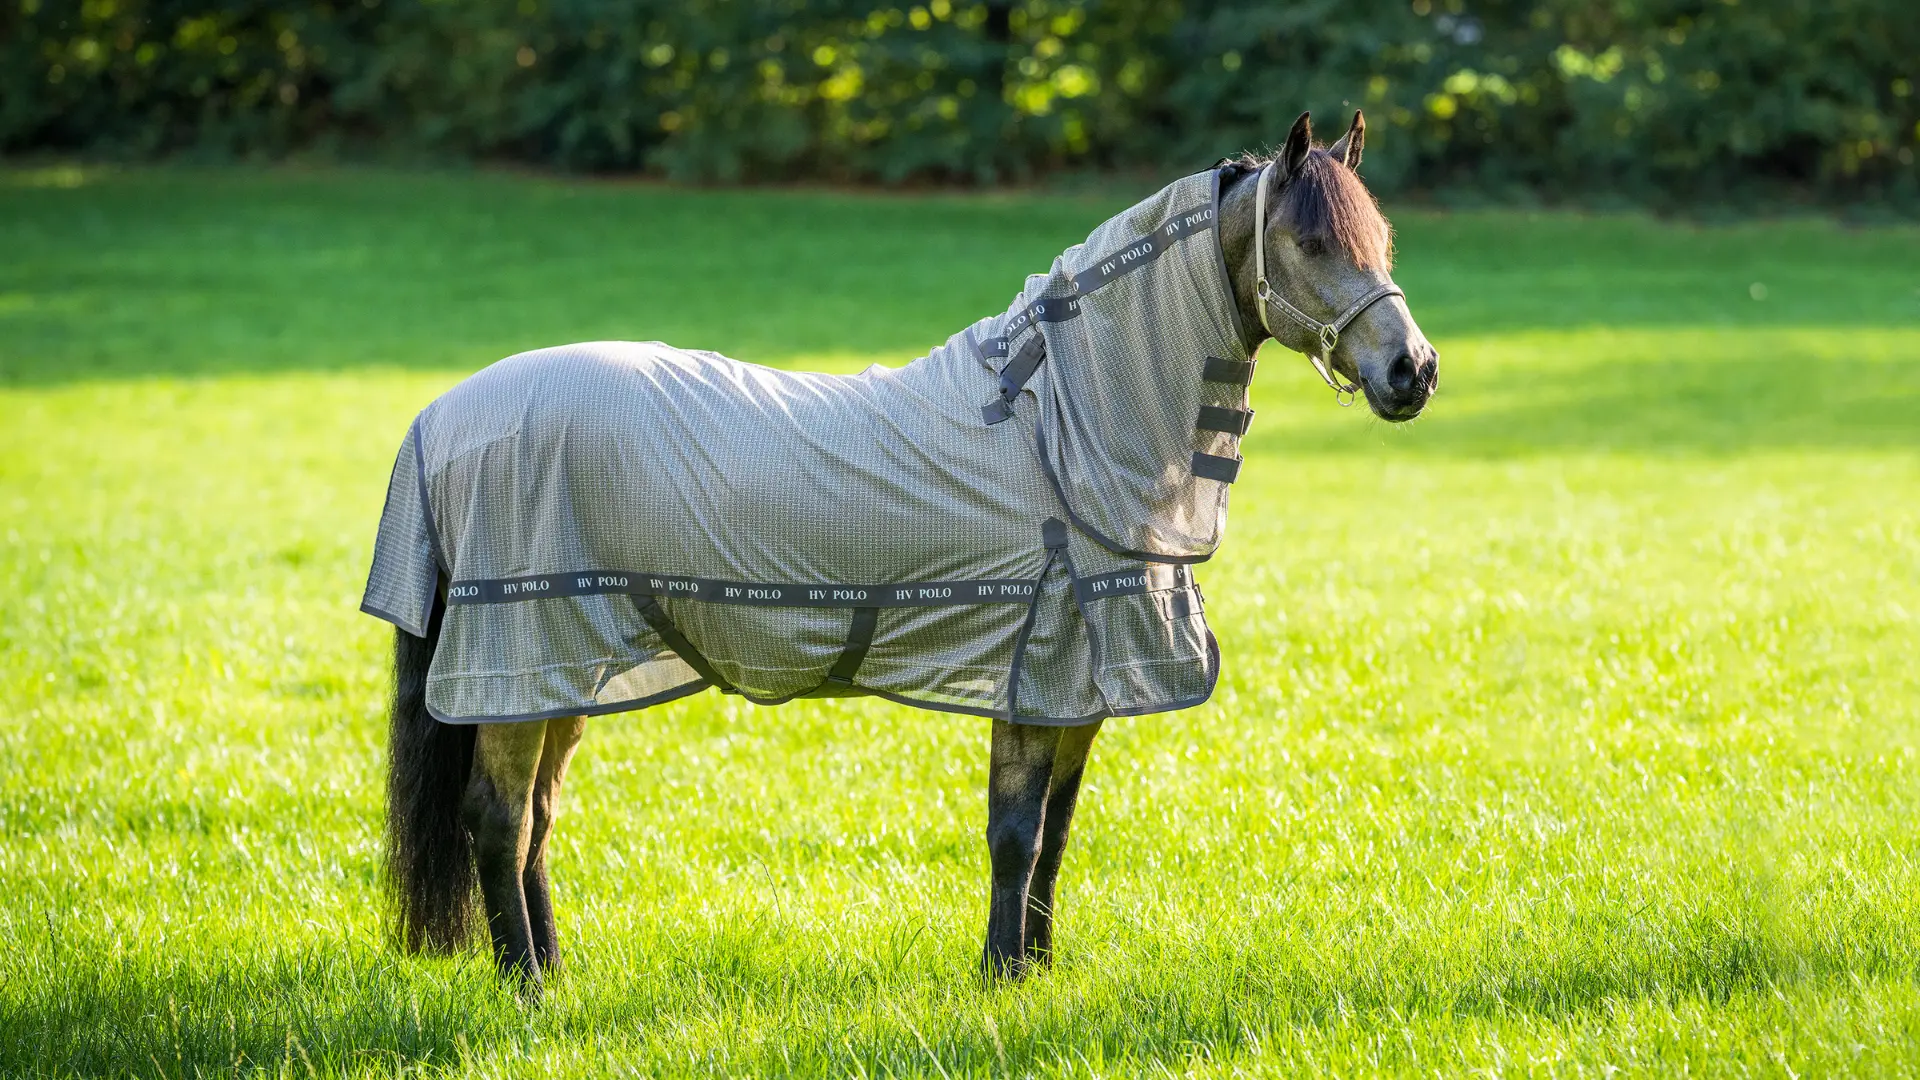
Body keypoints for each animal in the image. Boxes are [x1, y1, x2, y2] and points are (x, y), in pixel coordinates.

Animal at [372, 111, 1438, 995]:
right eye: (1311, 242)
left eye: (1383, 241)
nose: (1413, 372)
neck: (1064, 429)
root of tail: (439, 417)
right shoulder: (1035, 674)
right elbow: (1015, 834)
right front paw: (1002, 979)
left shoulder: (1082, 692)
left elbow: (1056, 835)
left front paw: (1038, 969)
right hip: (519, 654)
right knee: (498, 820)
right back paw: (528, 989)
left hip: (563, 671)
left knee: (535, 824)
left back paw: (554, 971)